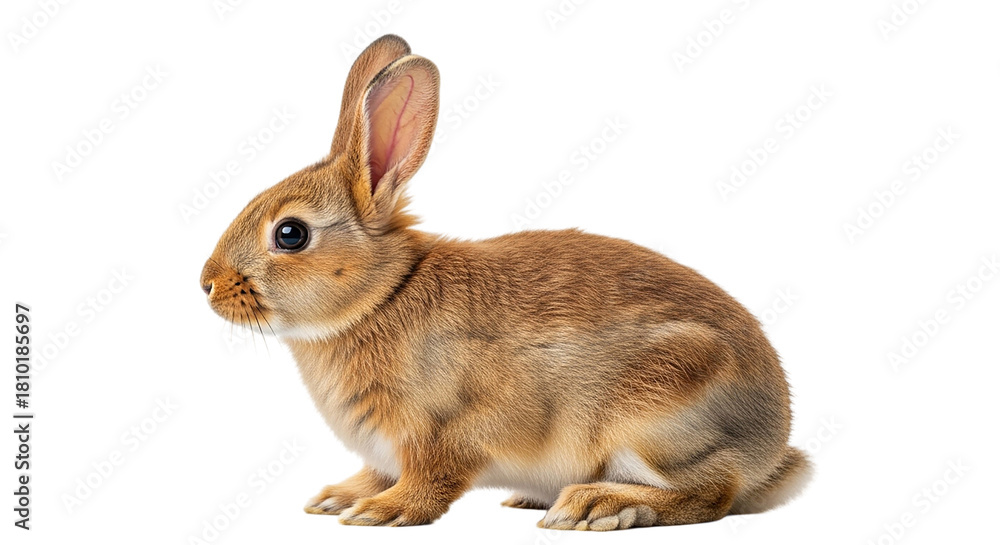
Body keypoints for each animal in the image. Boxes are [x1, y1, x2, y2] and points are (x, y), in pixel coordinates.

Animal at [200, 34, 812, 531]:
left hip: (655, 411)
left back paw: (596, 505)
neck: (381, 295)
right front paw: (337, 499)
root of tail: (771, 445)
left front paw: (381, 512)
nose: (207, 284)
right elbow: (377, 473)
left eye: (291, 234)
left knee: (712, 494)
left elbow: (430, 482)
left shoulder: (442, 432)